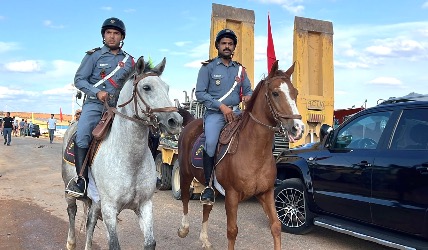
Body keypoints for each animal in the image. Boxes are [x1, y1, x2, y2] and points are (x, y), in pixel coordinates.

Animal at [61, 56, 181, 250]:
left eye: (167, 87)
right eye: (146, 87)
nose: (175, 121)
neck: (130, 160)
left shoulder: (145, 205)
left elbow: (150, 242)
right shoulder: (109, 208)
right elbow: (114, 244)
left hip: (96, 201)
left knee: (90, 221)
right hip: (70, 191)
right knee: (72, 212)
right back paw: (71, 242)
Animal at [176, 61, 304, 250]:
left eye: (295, 93)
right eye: (275, 93)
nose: (298, 128)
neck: (254, 152)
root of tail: (192, 122)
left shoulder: (266, 193)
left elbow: (276, 226)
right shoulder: (232, 195)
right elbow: (232, 231)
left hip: (210, 186)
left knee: (206, 207)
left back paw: (204, 239)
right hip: (185, 174)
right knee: (185, 198)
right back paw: (184, 229)